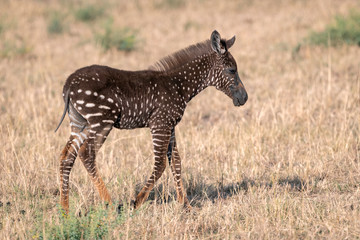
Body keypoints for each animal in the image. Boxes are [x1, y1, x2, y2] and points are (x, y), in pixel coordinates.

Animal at [56, 30, 248, 214]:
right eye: (232, 70)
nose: (244, 98)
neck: (178, 85)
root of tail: (69, 84)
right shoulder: (160, 124)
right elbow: (161, 164)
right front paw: (136, 202)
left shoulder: (170, 125)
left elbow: (176, 162)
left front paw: (186, 206)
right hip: (101, 122)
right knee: (87, 154)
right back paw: (109, 204)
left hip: (80, 124)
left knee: (67, 156)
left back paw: (65, 210)